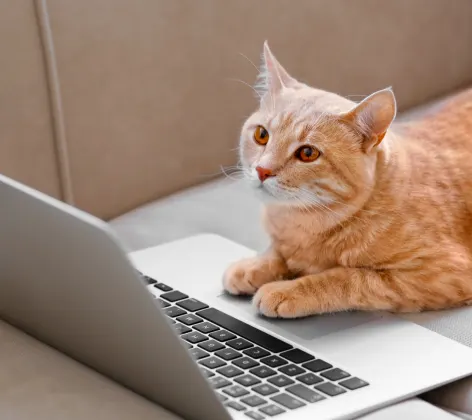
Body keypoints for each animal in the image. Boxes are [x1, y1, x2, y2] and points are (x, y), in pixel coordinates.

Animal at [223, 41, 472, 318]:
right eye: (261, 135)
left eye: (307, 153)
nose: (262, 170)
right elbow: (277, 253)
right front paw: (253, 266)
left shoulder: (440, 274)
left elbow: (349, 278)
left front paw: (287, 290)